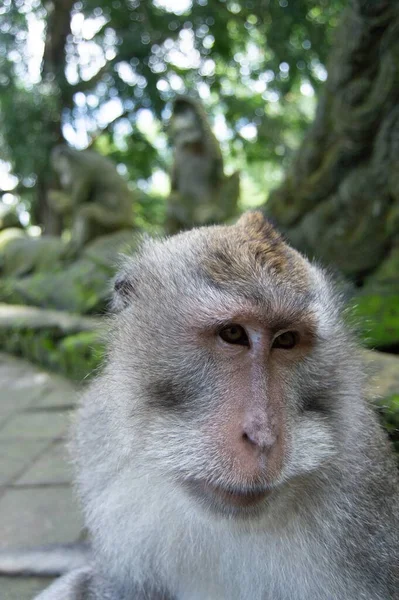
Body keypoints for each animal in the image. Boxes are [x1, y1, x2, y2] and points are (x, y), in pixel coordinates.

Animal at [166, 95, 241, 233]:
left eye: (184, 111)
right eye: (178, 113)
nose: (181, 117)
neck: (193, 144)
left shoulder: (211, 140)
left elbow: (220, 179)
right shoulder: (178, 151)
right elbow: (174, 188)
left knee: (235, 175)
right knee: (173, 198)